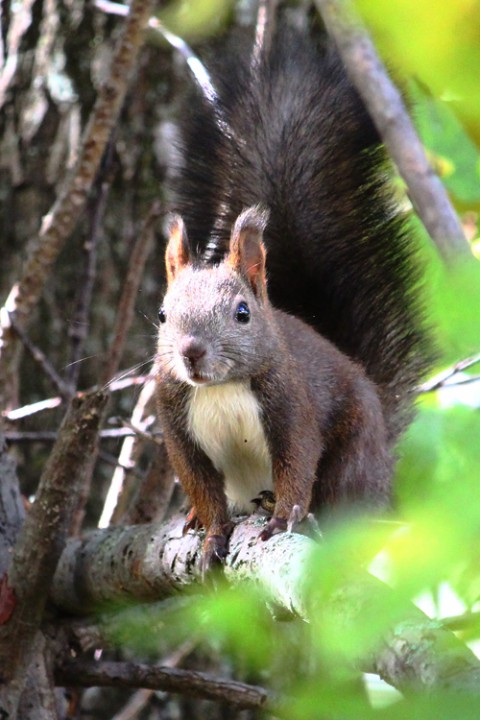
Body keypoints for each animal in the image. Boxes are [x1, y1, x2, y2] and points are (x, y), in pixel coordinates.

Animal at [155, 16, 432, 572]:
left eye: (242, 313)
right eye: (162, 316)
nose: (191, 353)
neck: (219, 390)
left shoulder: (291, 403)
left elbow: (297, 463)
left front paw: (285, 517)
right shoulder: (176, 424)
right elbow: (201, 486)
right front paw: (211, 530)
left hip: (355, 449)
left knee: (340, 489)